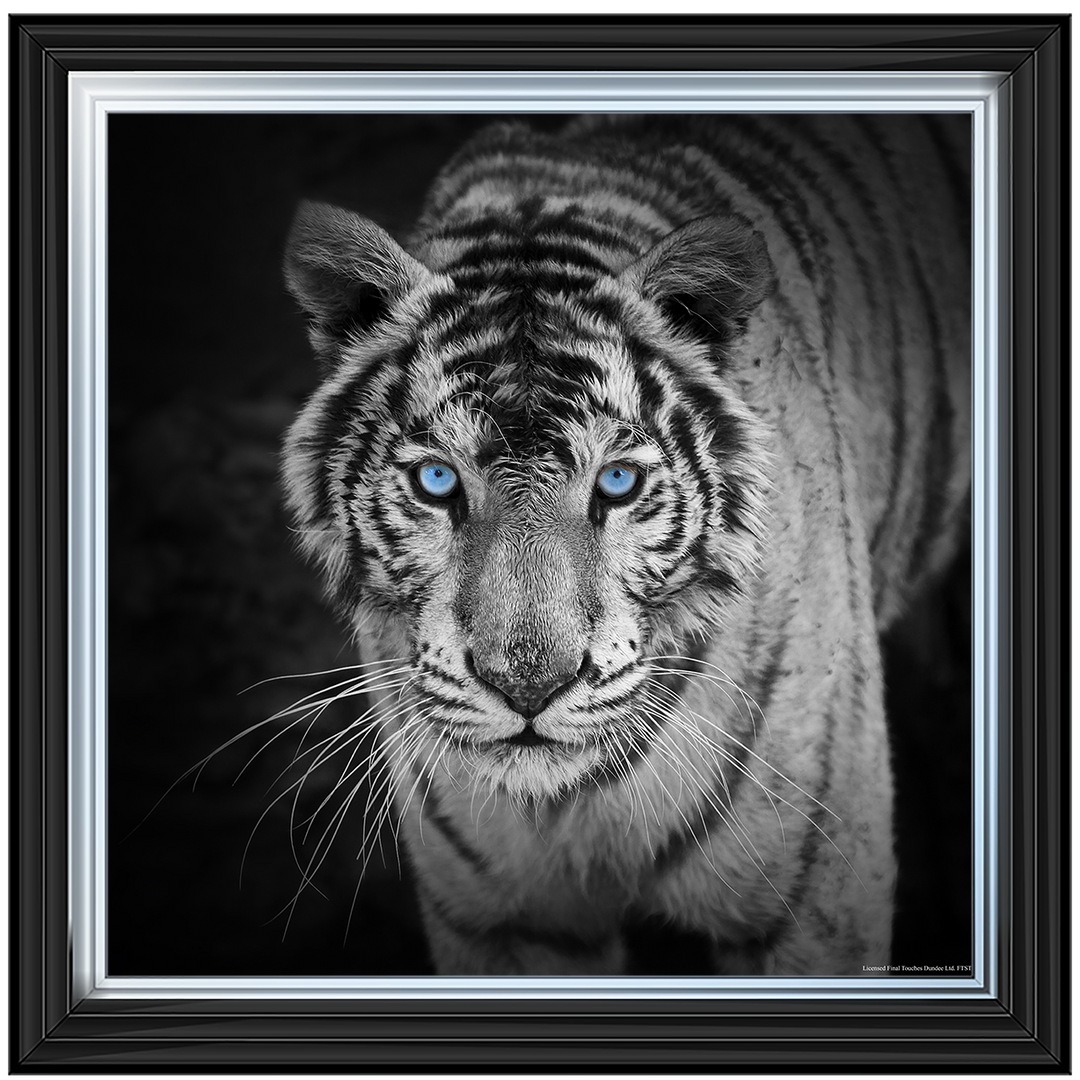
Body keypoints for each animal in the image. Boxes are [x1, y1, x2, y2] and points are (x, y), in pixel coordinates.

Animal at [280, 113, 971, 977]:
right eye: (438, 480)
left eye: (616, 483)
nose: (529, 687)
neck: (573, 805)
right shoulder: (505, 921)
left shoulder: (812, 905)